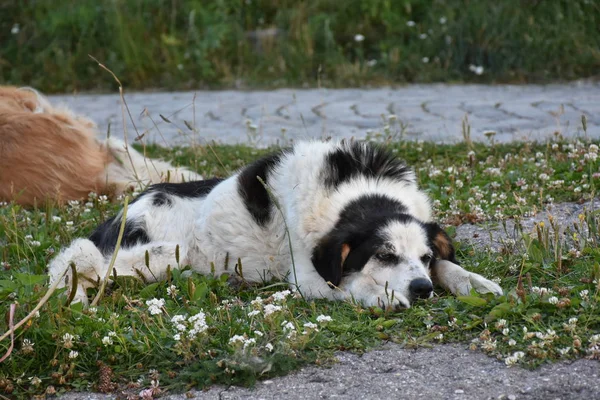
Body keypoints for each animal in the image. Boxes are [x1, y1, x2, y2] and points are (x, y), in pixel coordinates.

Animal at [49, 141, 504, 306]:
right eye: (384, 255)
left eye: (424, 257)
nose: (423, 290)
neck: (356, 193)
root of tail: (122, 212)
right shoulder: (307, 276)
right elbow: (351, 286)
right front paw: (381, 295)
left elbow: (449, 265)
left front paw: (473, 281)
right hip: (155, 255)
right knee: (77, 265)